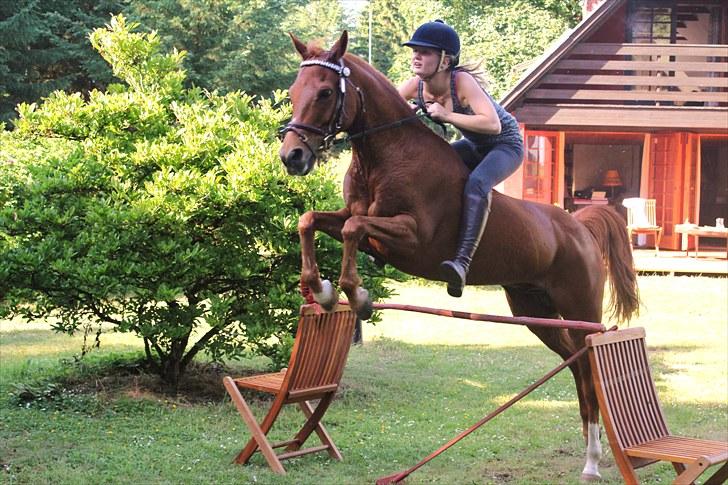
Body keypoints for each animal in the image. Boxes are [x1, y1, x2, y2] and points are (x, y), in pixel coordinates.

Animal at [278, 31, 636, 480]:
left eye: (326, 92)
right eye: (294, 92)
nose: (292, 156)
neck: (385, 155)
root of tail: (579, 227)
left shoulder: (413, 240)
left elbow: (351, 230)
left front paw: (354, 295)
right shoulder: (352, 217)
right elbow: (311, 220)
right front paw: (321, 289)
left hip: (582, 310)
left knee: (588, 369)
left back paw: (593, 461)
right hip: (534, 310)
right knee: (575, 364)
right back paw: (590, 453)